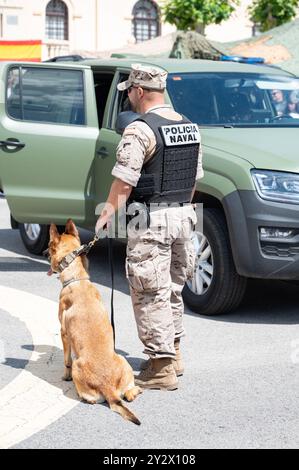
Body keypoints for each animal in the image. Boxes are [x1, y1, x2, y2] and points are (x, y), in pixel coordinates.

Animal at [47, 220, 143, 426]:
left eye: (49, 248)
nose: (44, 253)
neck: (77, 279)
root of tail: (108, 388)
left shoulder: (63, 334)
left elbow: (66, 360)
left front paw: (65, 377)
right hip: (123, 360)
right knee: (128, 395)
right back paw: (136, 389)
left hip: (79, 366)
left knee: (90, 395)